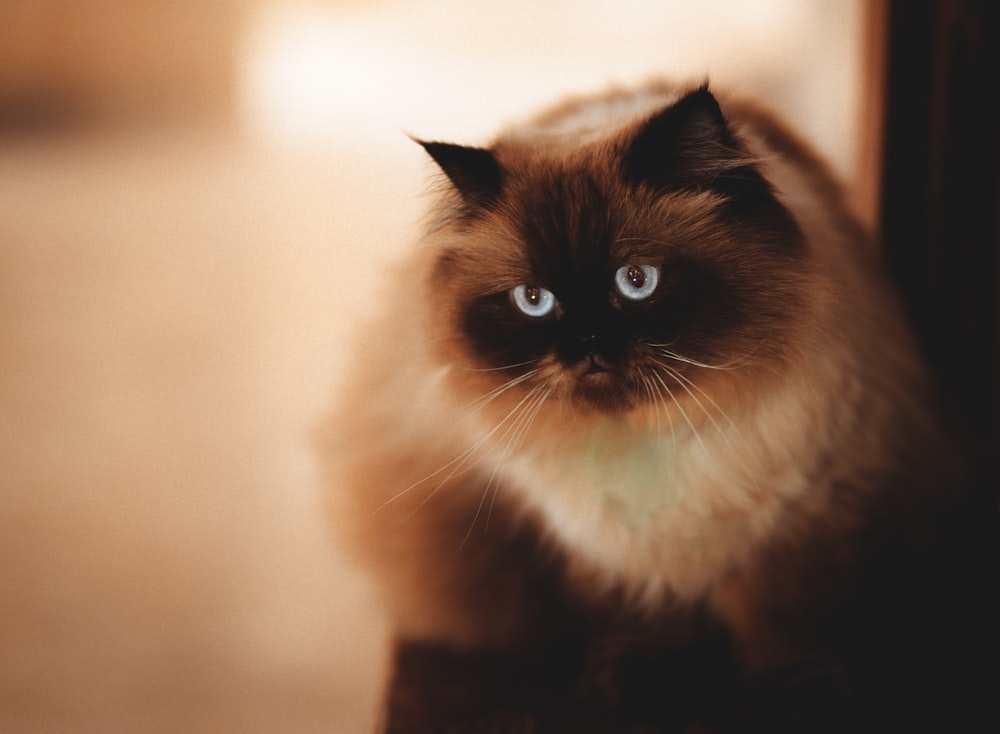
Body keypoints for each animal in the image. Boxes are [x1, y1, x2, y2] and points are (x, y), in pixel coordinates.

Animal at [322, 83, 984, 732]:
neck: (647, 438)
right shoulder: (605, 546)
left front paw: (805, 700)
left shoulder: (810, 520)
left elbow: (792, 627)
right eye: (534, 300)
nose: (587, 344)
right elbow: (640, 625)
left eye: (636, 281)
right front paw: (627, 688)